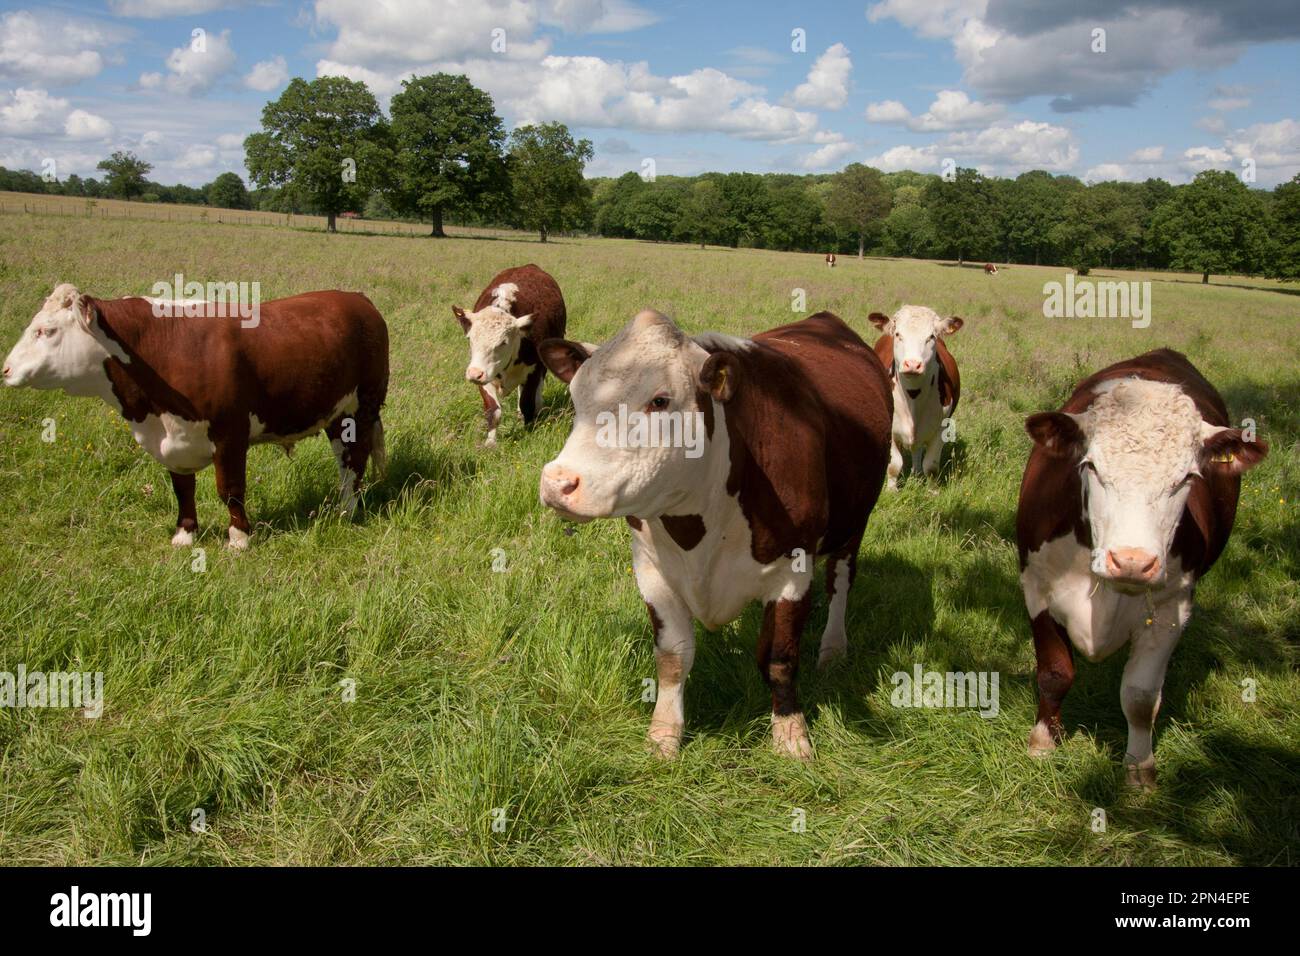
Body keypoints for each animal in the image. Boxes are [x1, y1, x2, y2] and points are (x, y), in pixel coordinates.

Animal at [2, 283, 387, 548]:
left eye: (46, 331)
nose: (5, 369)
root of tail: (357, 299)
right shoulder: (174, 438)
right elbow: (182, 489)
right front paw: (185, 534)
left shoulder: (230, 433)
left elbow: (230, 489)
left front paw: (239, 539)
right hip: (337, 414)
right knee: (346, 460)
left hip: (361, 409)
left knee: (354, 461)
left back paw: (348, 511)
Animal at [449, 260, 566, 442]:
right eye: (470, 339)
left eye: (503, 342)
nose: (474, 374)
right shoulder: (485, 372)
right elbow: (493, 410)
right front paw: (490, 443)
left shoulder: (534, 370)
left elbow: (527, 404)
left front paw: (528, 432)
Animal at [538, 312, 894, 764]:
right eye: (576, 398)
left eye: (660, 401)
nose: (557, 482)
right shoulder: (652, 569)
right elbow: (673, 657)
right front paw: (663, 735)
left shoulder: (794, 570)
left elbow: (780, 657)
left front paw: (791, 735)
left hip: (855, 524)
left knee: (841, 583)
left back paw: (833, 648)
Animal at [868, 306, 961, 489]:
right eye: (898, 334)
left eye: (931, 336)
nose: (912, 364)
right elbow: (894, 464)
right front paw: (891, 489)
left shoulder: (941, 428)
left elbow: (931, 466)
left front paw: (932, 491)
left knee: (917, 451)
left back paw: (916, 474)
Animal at [1013, 348, 1268, 790]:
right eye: (1091, 467)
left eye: (1187, 477)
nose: (1132, 561)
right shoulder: (1037, 588)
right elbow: (1055, 673)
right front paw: (1044, 743)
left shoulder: (1171, 610)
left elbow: (1140, 696)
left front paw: (1139, 767)